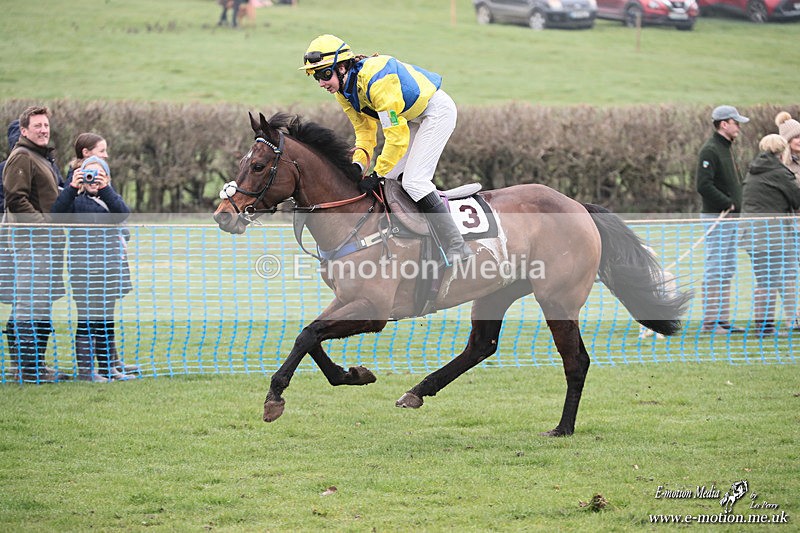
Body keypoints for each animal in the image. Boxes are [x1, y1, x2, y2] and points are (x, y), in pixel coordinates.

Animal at [213, 112, 691, 436]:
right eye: (241, 162)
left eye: (258, 166)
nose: (223, 214)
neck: (356, 218)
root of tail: (577, 205)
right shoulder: (347, 299)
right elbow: (309, 334)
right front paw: (352, 374)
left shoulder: (373, 309)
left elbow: (308, 334)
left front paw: (275, 396)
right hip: (496, 290)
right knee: (481, 346)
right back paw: (418, 391)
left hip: (557, 299)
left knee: (576, 361)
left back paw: (563, 428)